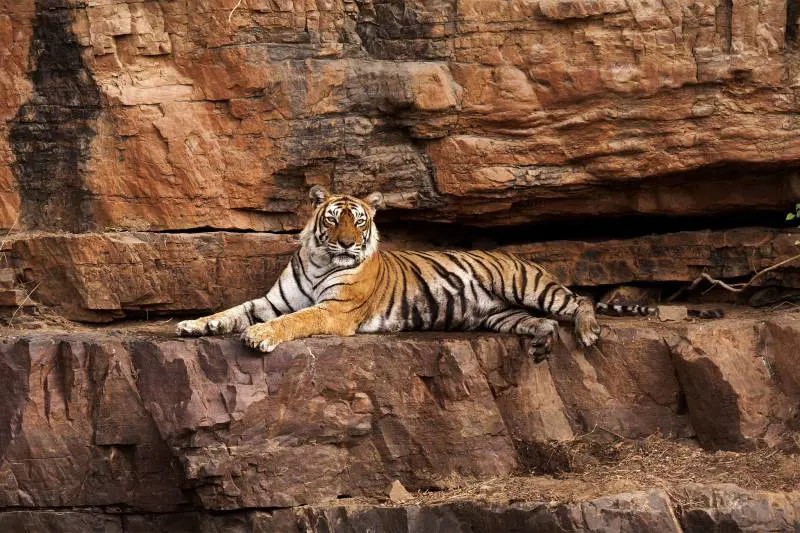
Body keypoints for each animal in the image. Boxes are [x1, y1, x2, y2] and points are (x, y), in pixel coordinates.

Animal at [176, 185, 604, 358]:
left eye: (359, 222)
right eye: (333, 219)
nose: (347, 244)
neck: (319, 260)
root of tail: (514, 255)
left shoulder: (333, 310)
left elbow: (295, 321)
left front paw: (259, 336)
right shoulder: (271, 301)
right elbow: (233, 311)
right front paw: (195, 325)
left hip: (525, 285)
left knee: (577, 300)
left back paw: (587, 332)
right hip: (502, 316)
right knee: (544, 322)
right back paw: (542, 342)